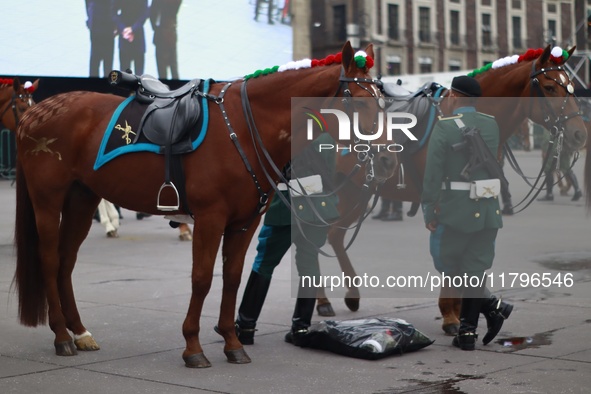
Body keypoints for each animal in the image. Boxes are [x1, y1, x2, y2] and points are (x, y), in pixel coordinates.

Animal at [11, 43, 396, 370]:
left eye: (383, 103)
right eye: (357, 102)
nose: (388, 161)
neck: (243, 127)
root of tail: (36, 113)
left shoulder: (244, 223)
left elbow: (232, 278)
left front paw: (232, 341)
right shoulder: (210, 219)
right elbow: (201, 279)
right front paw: (193, 347)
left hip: (82, 198)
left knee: (66, 262)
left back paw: (80, 331)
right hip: (48, 200)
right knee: (49, 260)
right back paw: (62, 335)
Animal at [322, 43, 588, 332]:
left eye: (572, 86)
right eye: (550, 87)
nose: (579, 133)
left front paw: (461, 309)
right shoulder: (442, 202)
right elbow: (450, 256)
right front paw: (450, 313)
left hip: (355, 191)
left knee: (333, 235)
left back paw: (350, 295)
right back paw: (321, 300)